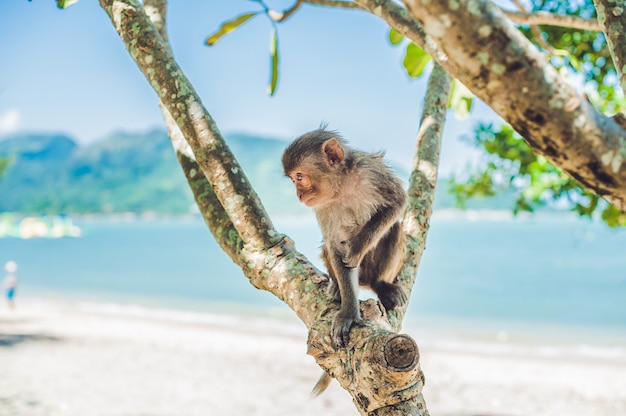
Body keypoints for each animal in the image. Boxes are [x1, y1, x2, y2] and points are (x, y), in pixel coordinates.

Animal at [280, 126, 408, 352]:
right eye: (294, 180)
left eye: (299, 177)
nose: (298, 195)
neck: (342, 186)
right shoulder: (323, 207)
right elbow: (336, 246)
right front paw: (348, 312)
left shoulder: (370, 171)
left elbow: (398, 201)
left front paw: (358, 246)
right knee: (327, 248)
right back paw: (337, 287)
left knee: (394, 228)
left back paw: (382, 284)